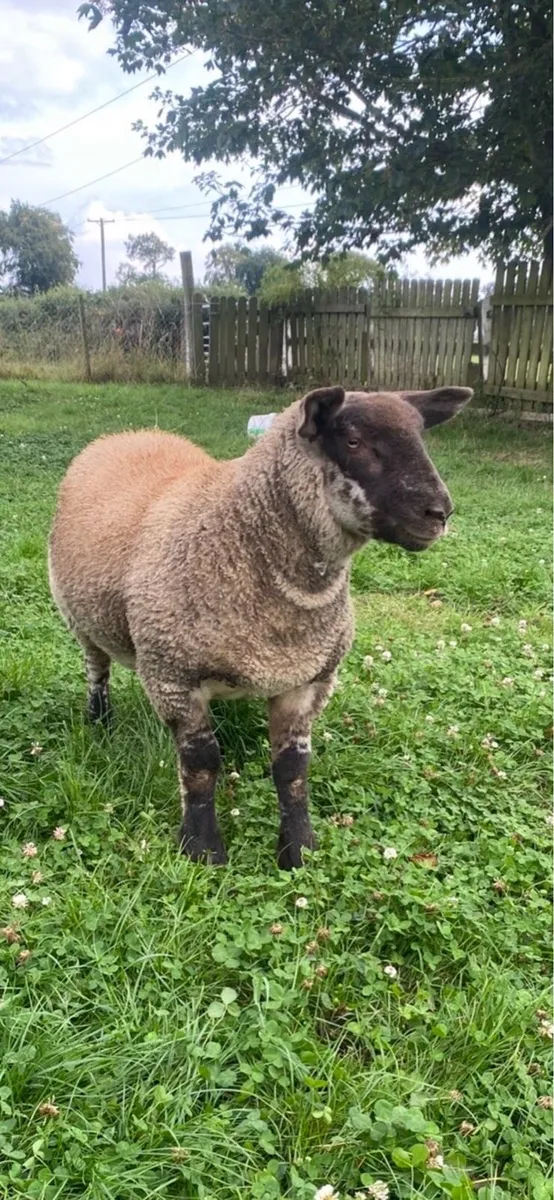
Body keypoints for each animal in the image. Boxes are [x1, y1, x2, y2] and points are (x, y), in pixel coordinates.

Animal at [48, 384, 472, 869]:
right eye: (352, 441)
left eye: (421, 437)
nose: (439, 513)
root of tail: (129, 433)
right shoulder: (175, 676)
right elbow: (201, 765)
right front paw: (202, 850)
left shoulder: (308, 680)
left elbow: (292, 769)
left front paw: (298, 851)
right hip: (79, 617)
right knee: (96, 670)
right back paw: (100, 722)